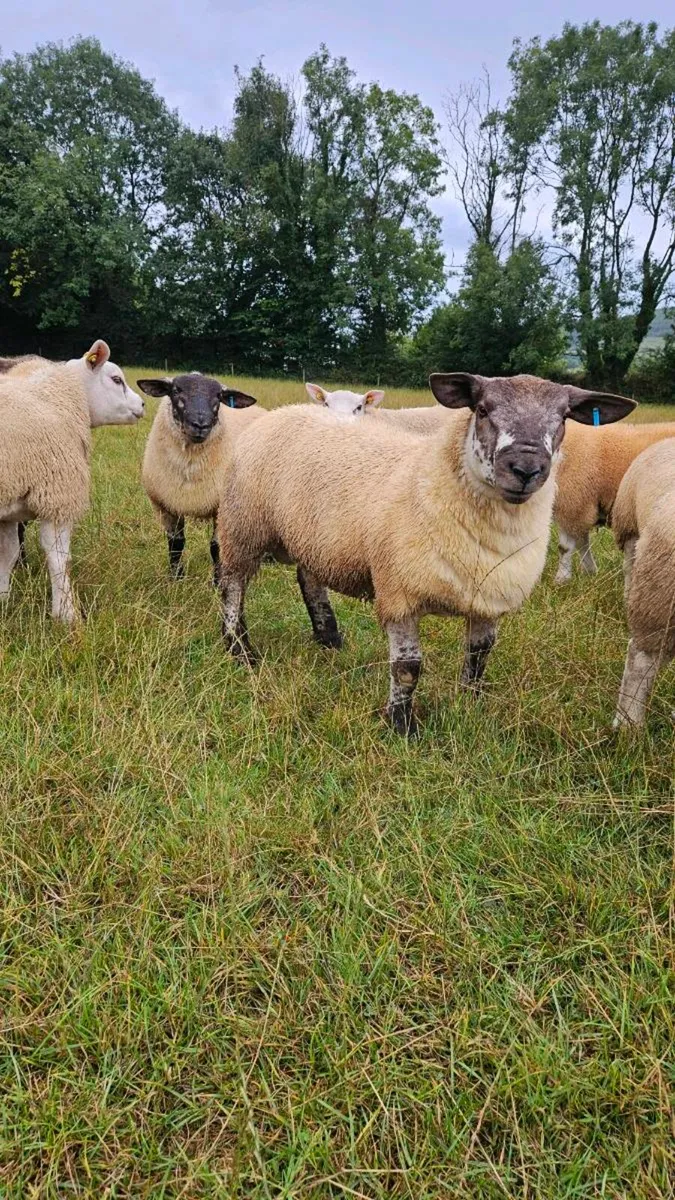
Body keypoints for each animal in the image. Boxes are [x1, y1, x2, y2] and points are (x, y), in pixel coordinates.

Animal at [0, 340, 144, 623]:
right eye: (116, 379)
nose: (143, 404)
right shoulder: (58, 496)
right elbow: (59, 557)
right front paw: (67, 614)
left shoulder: (11, 508)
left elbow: (8, 554)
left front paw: (2, 598)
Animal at [138, 374, 262, 580]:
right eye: (176, 390)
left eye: (219, 396)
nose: (200, 425)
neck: (190, 465)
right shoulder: (168, 505)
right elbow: (176, 544)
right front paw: (176, 578)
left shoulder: (219, 506)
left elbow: (216, 547)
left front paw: (218, 581)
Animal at [216, 373, 635, 736]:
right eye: (482, 409)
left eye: (563, 417)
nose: (526, 469)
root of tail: (286, 410)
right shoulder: (398, 592)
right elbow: (407, 668)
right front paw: (402, 726)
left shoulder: (489, 598)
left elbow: (479, 657)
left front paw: (470, 704)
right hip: (243, 525)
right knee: (231, 584)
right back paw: (240, 649)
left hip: (312, 536)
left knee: (308, 577)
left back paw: (328, 637)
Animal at [552, 417, 675, 584]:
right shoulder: (579, 505)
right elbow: (581, 542)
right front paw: (590, 571)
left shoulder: (572, 503)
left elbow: (565, 547)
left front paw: (561, 579)